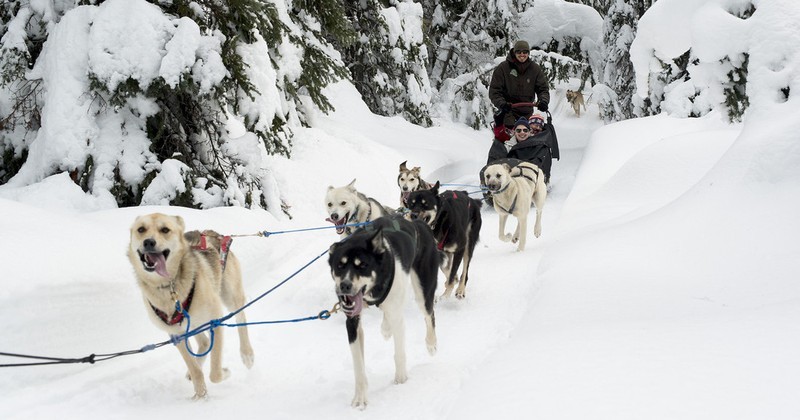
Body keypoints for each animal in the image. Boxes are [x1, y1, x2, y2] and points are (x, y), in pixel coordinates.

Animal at [127, 213, 253, 400]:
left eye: (165, 230)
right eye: (141, 229)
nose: (148, 242)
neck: (169, 287)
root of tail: (212, 233)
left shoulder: (215, 320)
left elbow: (215, 373)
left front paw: (224, 373)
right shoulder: (177, 334)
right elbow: (195, 370)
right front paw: (200, 396)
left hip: (230, 297)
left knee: (240, 319)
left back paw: (247, 354)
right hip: (192, 323)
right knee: (205, 342)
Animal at [324, 215, 440, 408]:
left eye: (362, 265)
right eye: (339, 266)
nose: (345, 286)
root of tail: (417, 223)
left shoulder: (398, 316)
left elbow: (399, 353)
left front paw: (401, 380)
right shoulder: (352, 322)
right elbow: (358, 365)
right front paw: (360, 397)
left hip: (423, 291)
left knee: (429, 314)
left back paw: (431, 343)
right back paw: (386, 328)